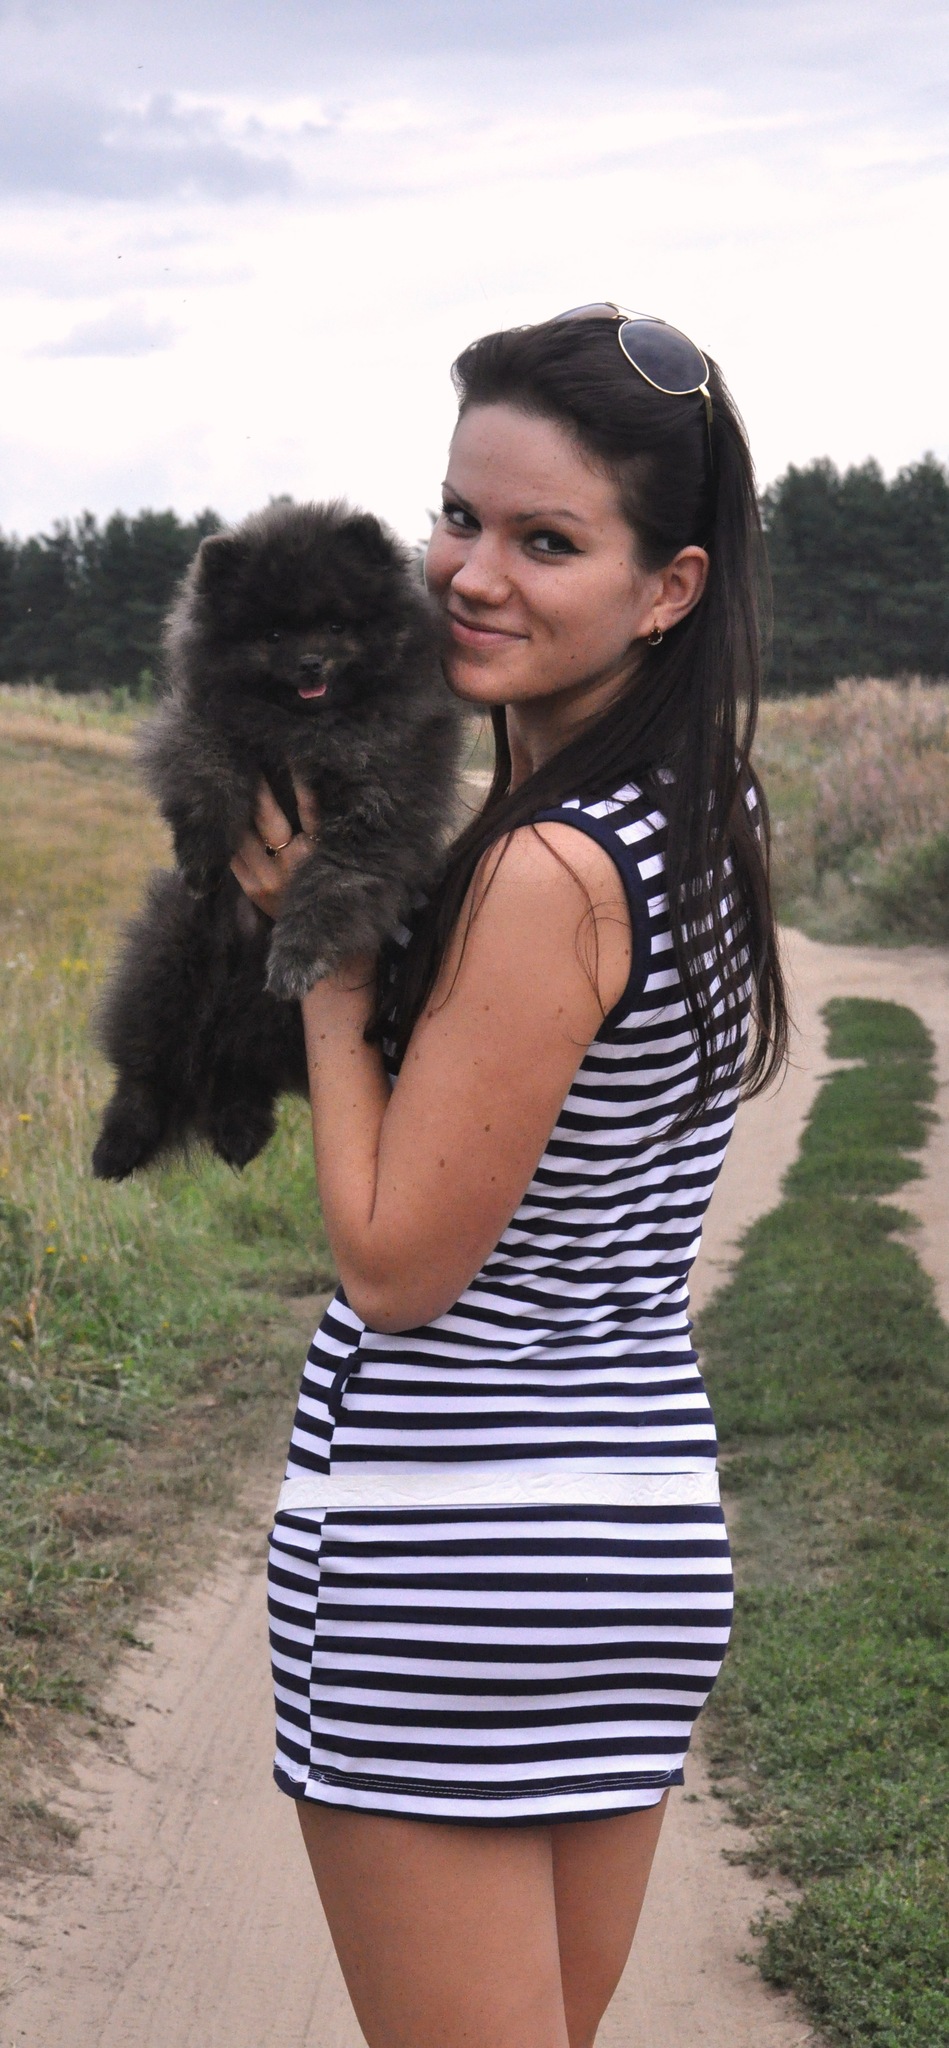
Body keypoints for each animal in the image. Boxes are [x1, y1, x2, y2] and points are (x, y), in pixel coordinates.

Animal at [91, 499, 461, 1181]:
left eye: (336, 625)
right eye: (272, 636)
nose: (311, 664)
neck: (304, 729)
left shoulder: (383, 800)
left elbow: (333, 880)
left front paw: (297, 951)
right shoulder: (202, 719)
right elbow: (209, 763)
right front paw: (201, 852)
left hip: (266, 1026)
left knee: (244, 1072)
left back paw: (237, 1129)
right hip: (169, 954)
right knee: (145, 1067)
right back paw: (120, 1143)